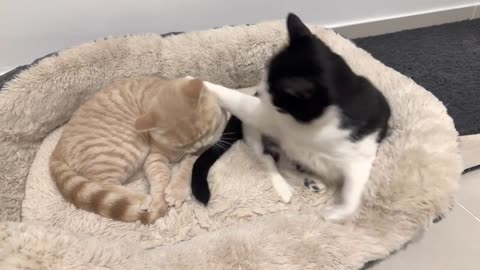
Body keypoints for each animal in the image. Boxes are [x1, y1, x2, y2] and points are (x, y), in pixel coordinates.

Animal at [49, 76, 226, 224]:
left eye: (205, 132)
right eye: (182, 144)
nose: (198, 146)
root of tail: (57, 147)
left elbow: (188, 168)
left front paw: (175, 191)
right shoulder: (154, 156)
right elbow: (160, 177)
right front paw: (159, 201)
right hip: (126, 149)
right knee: (104, 184)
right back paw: (141, 198)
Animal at [191, 12, 390, 220]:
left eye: (274, 93)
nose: (259, 93)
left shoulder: (362, 155)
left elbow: (353, 195)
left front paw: (332, 214)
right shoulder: (271, 120)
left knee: (287, 161)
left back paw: (311, 180)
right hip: (254, 134)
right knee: (267, 158)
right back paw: (284, 187)